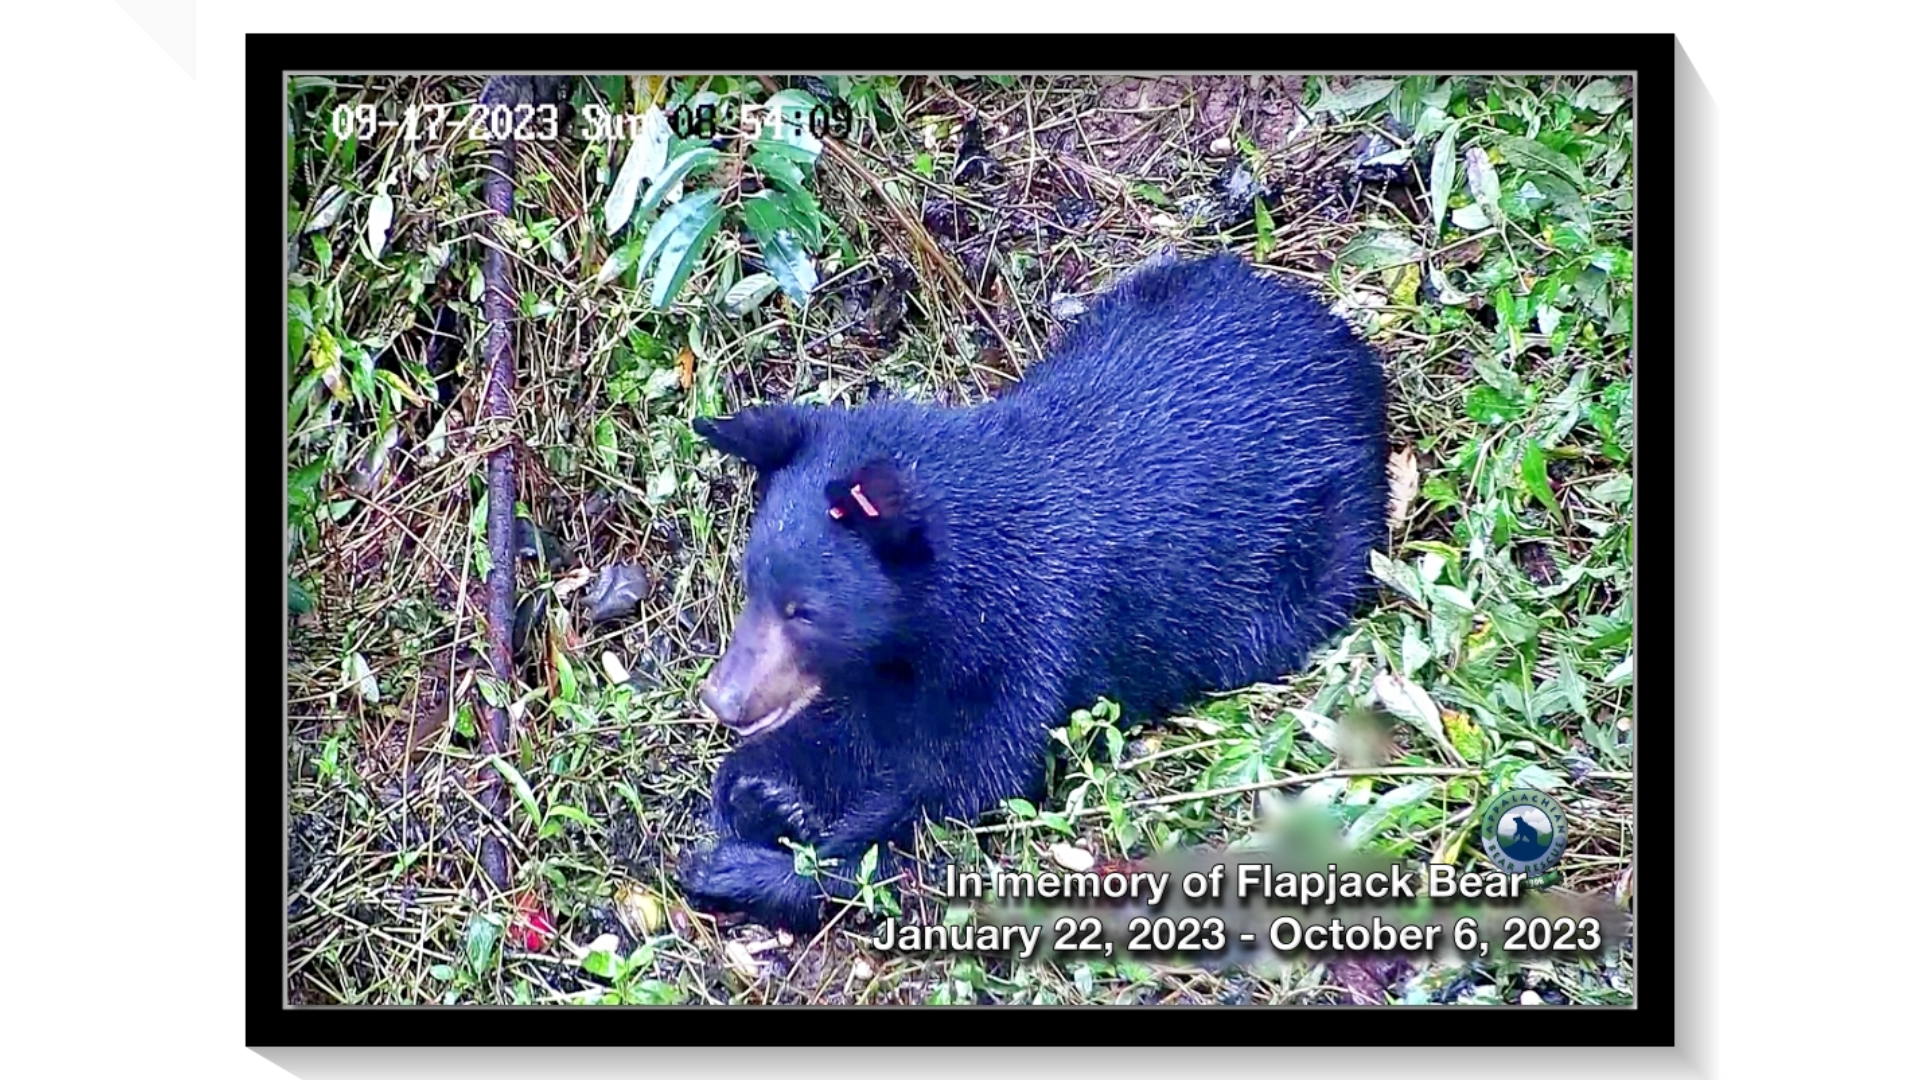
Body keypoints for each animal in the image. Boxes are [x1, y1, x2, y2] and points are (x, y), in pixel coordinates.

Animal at [683, 251, 1390, 926]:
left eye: (803, 611)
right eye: (751, 583)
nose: (721, 698)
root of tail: (1341, 341)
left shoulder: (1032, 637)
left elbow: (960, 785)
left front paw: (755, 868)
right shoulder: (894, 665)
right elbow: (861, 725)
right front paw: (760, 788)